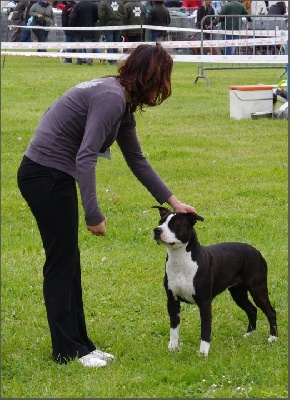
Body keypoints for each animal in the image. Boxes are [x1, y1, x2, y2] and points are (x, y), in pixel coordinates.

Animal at [153, 206, 278, 356]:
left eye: (175, 224)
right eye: (160, 222)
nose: (157, 230)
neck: (180, 260)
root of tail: (257, 252)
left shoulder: (205, 302)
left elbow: (205, 328)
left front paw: (203, 352)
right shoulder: (172, 301)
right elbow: (174, 328)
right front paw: (172, 348)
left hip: (257, 289)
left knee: (270, 311)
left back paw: (273, 337)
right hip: (238, 292)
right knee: (252, 309)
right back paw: (249, 334)